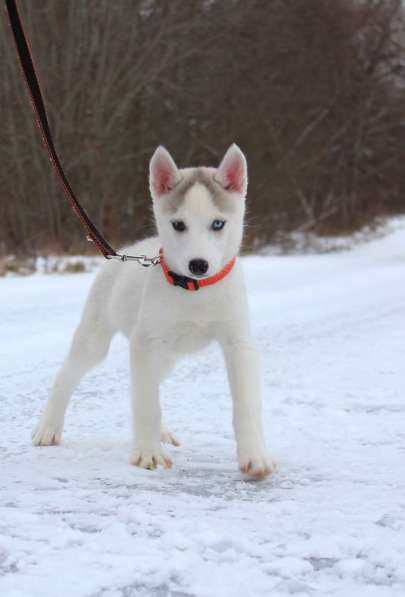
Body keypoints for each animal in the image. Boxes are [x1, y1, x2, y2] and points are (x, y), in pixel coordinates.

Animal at [33, 144, 274, 480]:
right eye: (178, 225)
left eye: (218, 224)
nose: (198, 265)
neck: (195, 290)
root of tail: (120, 254)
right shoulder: (145, 343)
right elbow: (147, 404)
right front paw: (148, 453)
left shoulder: (239, 344)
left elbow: (246, 405)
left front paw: (255, 456)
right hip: (97, 341)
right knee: (68, 377)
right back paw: (48, 427)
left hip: (165, 356)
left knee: (146, 384)